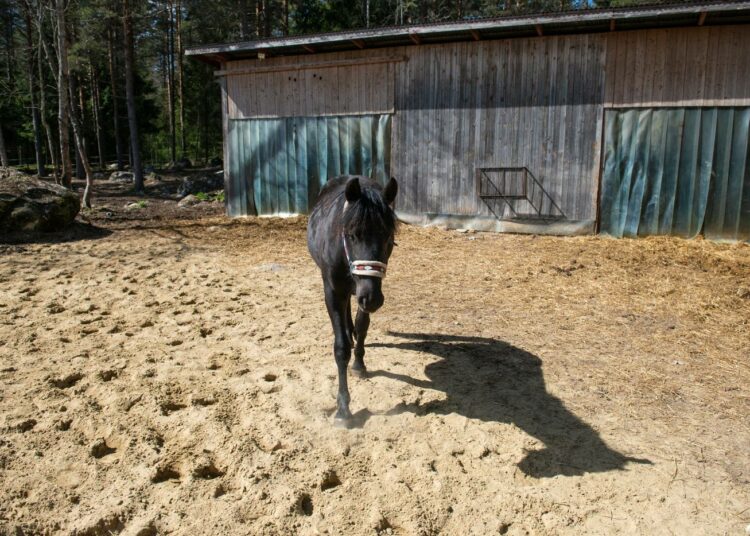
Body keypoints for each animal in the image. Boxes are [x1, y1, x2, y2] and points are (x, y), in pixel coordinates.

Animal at [308, 176, 400, 428]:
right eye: (351, 235)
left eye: (388, 237)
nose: (373, 299)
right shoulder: (333, 292)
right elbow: (340, 349)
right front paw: (343, 409)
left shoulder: (366, 290)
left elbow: (362, 325)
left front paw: (359, 364)